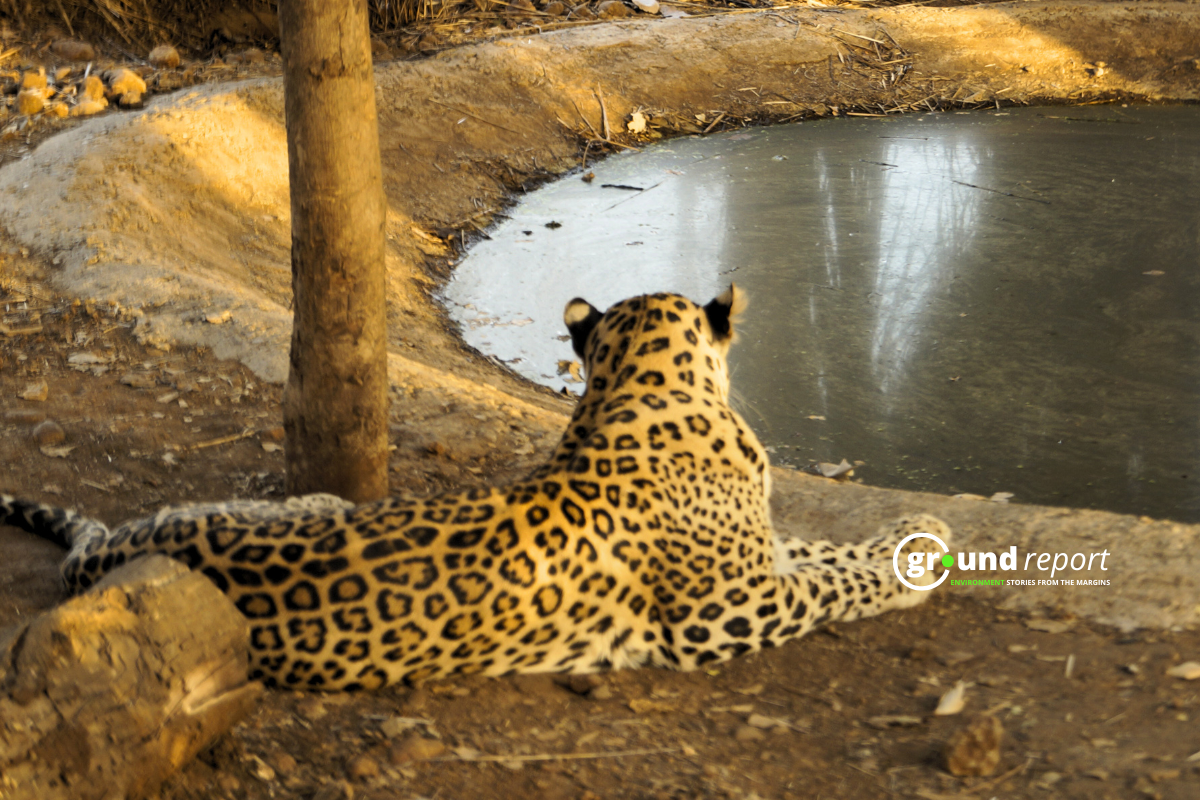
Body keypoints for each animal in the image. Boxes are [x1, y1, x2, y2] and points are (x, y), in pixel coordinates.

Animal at [0, 286, 951, 691]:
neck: (637, 386)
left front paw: (914, 533)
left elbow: (822, 549)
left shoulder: (761, 558)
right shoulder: (722, 612)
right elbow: (832, 579)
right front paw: (911, 566)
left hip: (295, 503)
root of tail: (104, 553)